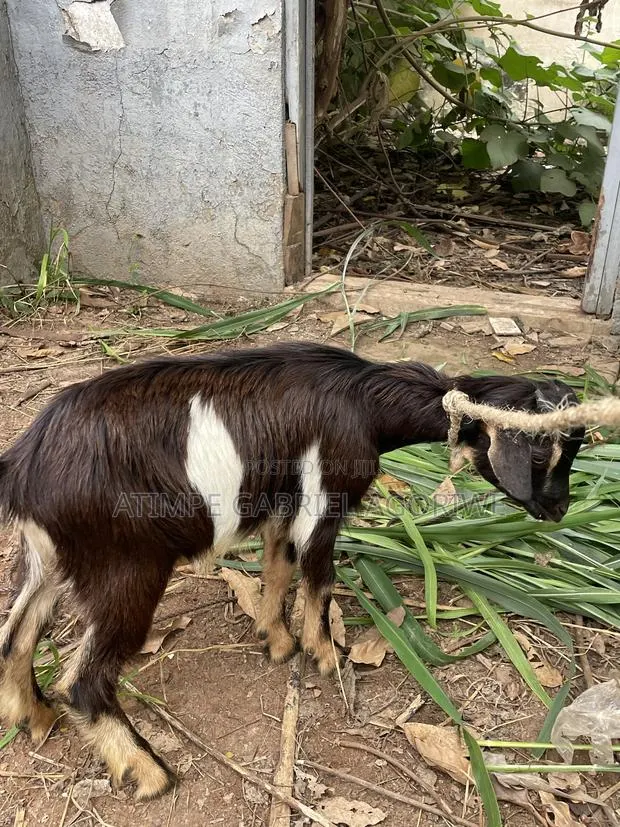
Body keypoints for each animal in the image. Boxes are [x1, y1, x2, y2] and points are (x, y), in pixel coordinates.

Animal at [0, 341, 584, 799]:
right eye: (541, 455)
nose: (559, 510)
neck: (364, 400)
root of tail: (24, 468)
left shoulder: (284, 500)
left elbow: (279, 568)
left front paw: (276, 641)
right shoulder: (324, 498)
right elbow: (320, 579)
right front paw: (324, 655)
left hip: (47, 558)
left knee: (16, 634)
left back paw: (34, 718)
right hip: (126, 568)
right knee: (83, 678)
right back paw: (150, 773)